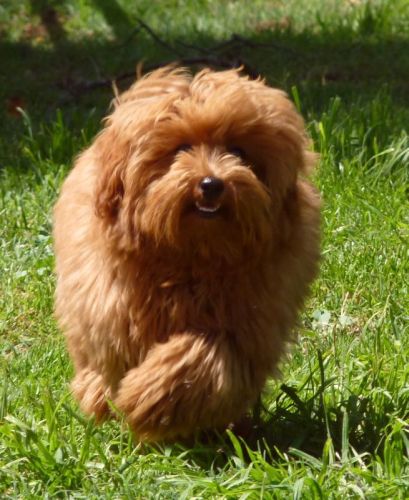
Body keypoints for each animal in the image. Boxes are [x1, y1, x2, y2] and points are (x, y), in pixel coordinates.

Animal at [53, 65, 318, 442]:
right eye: (181, 148)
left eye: (238, 151)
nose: (212, 184)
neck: (191, 258)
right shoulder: (111, 311)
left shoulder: (250, 327)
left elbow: (204, 354)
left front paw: (148, 398)